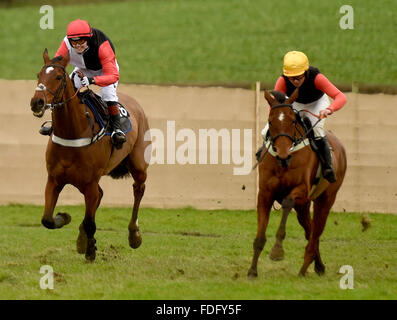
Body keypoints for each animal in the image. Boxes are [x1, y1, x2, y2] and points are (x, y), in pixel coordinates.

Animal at [29, 49, 150, 260]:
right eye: (39, 74)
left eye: (58, 77)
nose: (37, 102)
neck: (73, 131)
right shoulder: (54, 179)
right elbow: (47, 219)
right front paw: (64, 218)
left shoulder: (90, 183)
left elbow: (90, 222)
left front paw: (90, 250)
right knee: (101, 196)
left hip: (138, 165)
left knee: (138, 189)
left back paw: (134, 234)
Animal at [248, 88, 346, 278]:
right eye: (270, 121)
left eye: (293, 121)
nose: (283, 154)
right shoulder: (264, 194)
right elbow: (260, 236)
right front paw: (252, 271)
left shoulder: (300, 191)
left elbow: (287, 203)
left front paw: (277, 251)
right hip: (304, 206)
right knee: (310, 230)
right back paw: (318, 266)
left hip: (326, 199)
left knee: (316, 231)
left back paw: (304, 267)